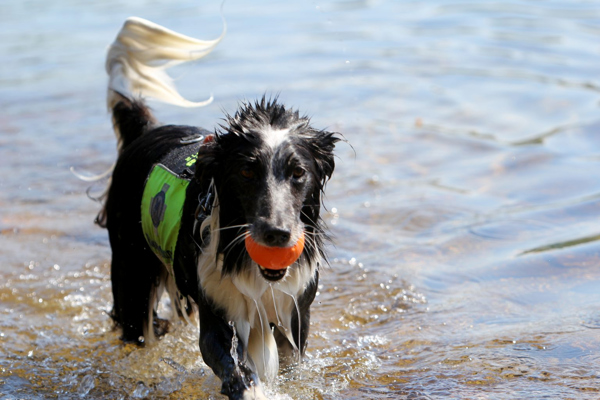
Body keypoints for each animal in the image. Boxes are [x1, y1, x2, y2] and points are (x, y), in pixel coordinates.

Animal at [101, 17, 340, 398]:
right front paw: (252, 389)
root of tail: (148, 132)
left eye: (298, 173)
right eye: (246, 172)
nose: (276, 234)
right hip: (131, 270)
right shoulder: (216, 310)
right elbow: (231, 363)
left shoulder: (295, 310)